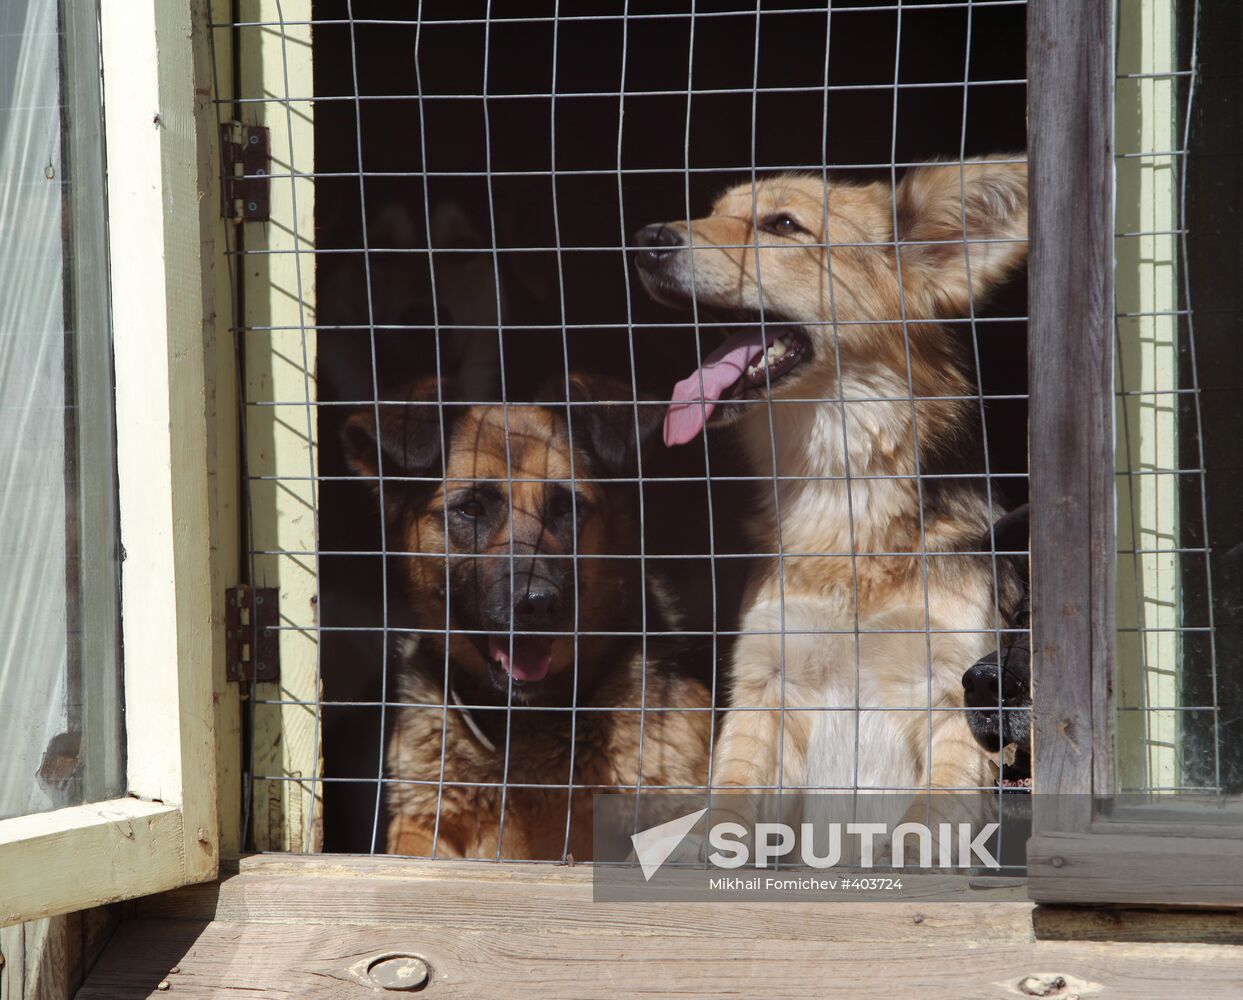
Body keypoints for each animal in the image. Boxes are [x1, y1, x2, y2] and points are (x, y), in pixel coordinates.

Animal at [636, 155, 1024, 795]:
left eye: (783, 225)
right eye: (714, 213)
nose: (646, 240)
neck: (842, 502)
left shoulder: (959, 694)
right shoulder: (763, 686)